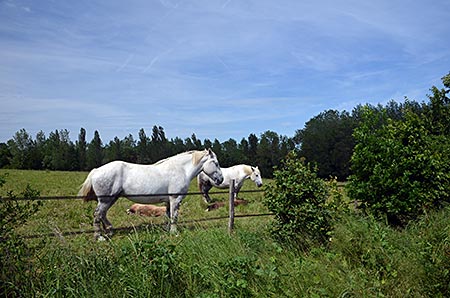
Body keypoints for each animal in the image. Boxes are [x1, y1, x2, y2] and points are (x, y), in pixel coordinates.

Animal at [80, 149, 224, 240]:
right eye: (216, 163)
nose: (221, 179)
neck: (181, 170)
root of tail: (96, 170)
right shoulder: (175, 199)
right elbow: (174, 216)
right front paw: (174, 232)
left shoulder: (168, 201)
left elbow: (168, 216)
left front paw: (167, 230)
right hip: (105, 200)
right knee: (97, 215)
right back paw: (99, 237)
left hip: (111, 199)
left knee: (102, 215)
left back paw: (109, 231)